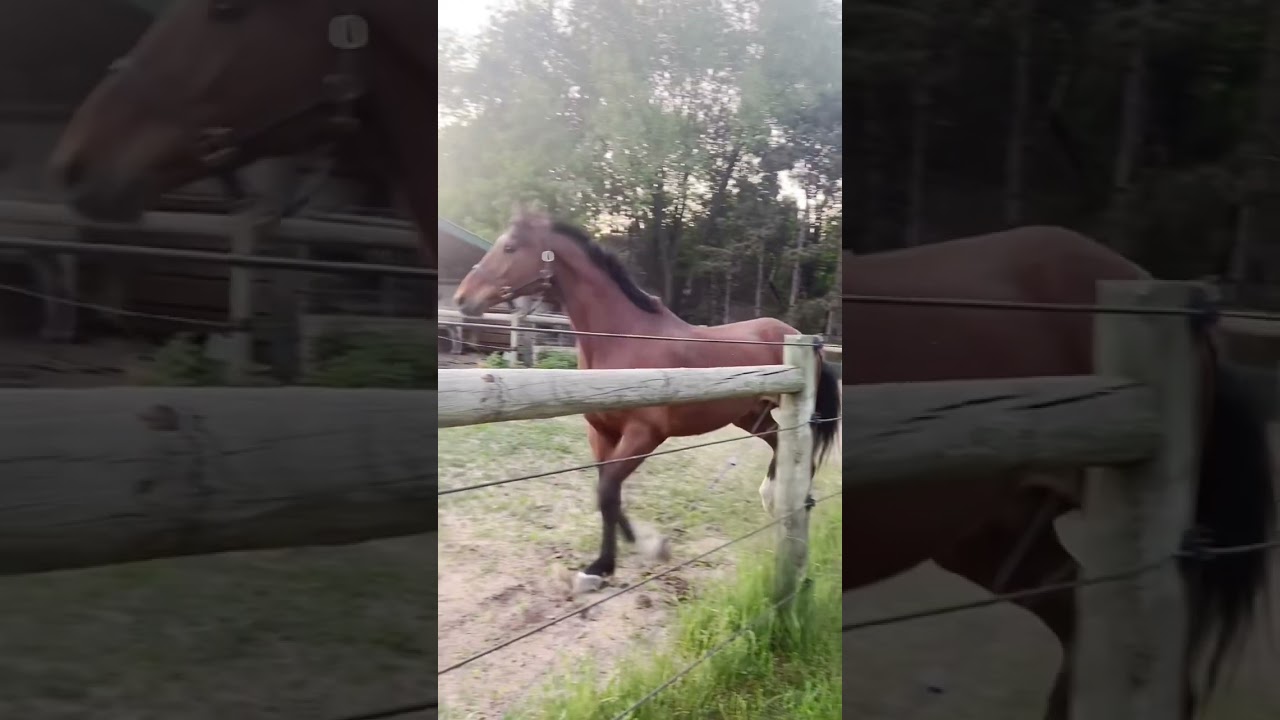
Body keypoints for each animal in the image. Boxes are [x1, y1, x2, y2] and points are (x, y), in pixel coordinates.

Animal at [454, 211, 842, 592]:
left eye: (510, 247)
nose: (461, 298)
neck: (622, 340)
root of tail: (800, 336)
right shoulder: (602, 434)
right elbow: (607, 492)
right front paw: (625, 549)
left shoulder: (645, 435)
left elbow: (607, 490)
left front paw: (607, 564)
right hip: (751, 416)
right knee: (781, 445)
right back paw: (774, 498)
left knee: (801, 449)